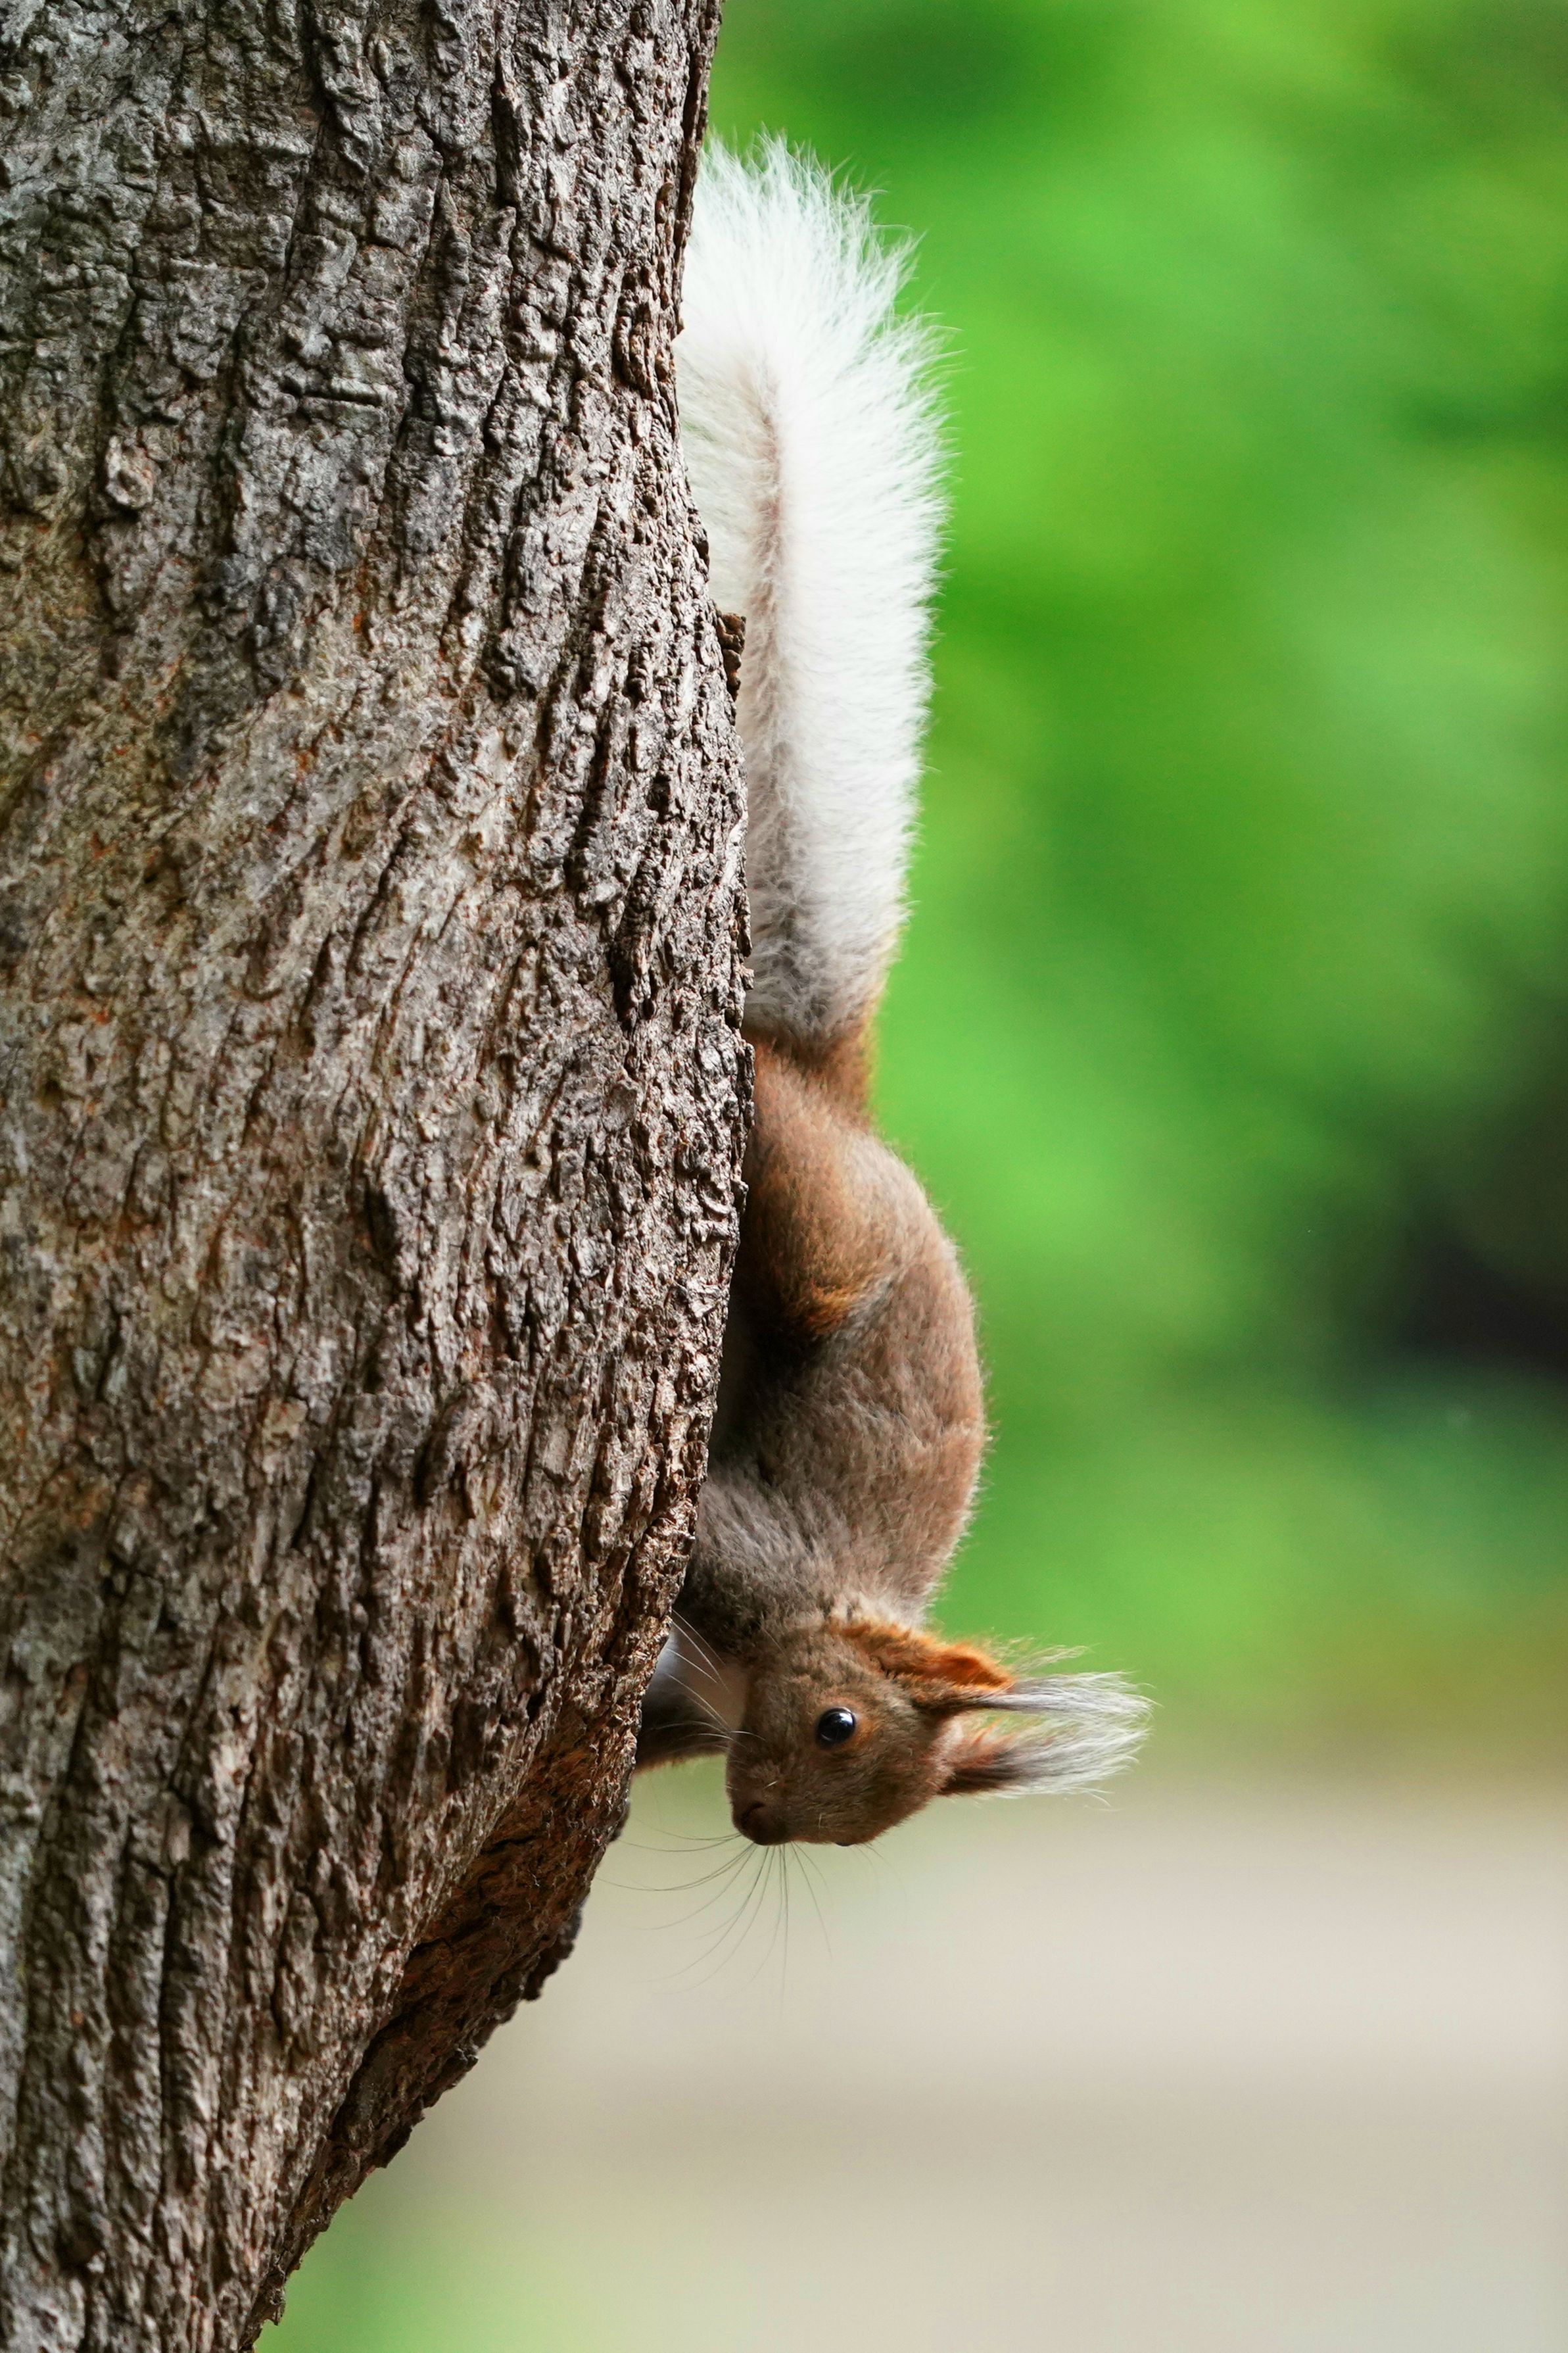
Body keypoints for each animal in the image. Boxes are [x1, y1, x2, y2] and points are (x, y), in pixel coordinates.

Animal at [636, 144, 1148, 1845]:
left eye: (869, 1812)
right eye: (841, 1719)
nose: (754, 1824)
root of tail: (845, 1091)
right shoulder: (743, 1550)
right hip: (823, 1233)